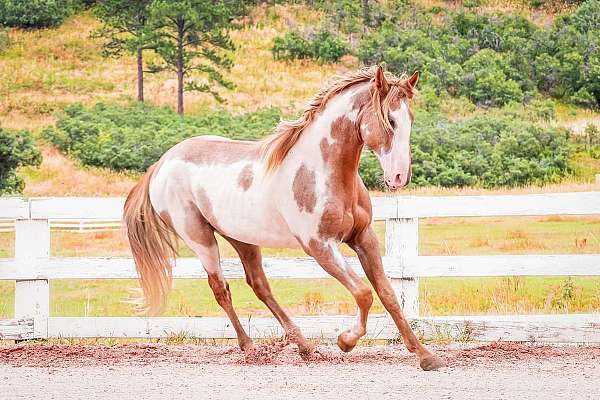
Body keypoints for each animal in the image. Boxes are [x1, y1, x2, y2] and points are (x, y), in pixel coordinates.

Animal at [124, 65, 446, 372]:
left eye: (410, 119)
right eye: (390, 120)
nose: (399, 177)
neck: (320, 171)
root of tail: (162, 163)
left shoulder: (364, 237)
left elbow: (388, 295)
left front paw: (425, 355)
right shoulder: (321, 247)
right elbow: (364, 292)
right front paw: (346, 341)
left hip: (241, 239)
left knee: (259, 285)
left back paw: (303, 347)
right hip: (200, 238)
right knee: (221, 290)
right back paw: (250, 347)